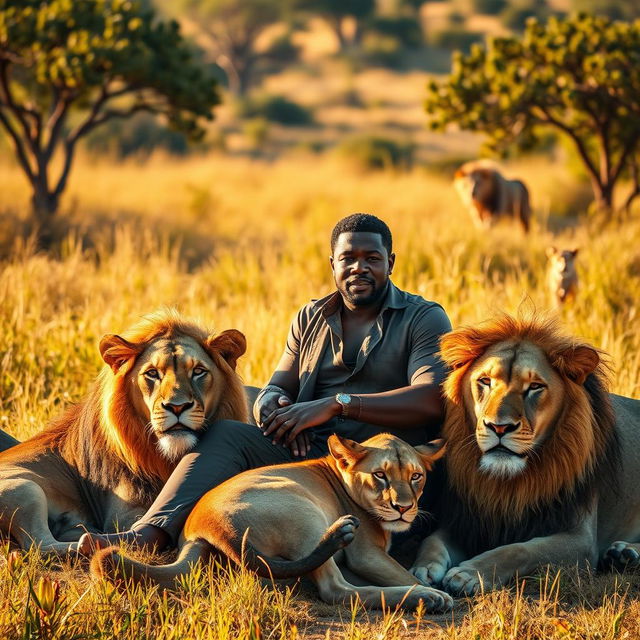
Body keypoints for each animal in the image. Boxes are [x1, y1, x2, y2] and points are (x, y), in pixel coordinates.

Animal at [0, 310, 248, 556]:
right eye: (152, 373)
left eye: (198, 371)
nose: (177, 407)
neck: (167, 456)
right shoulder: (122, 516)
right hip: (24, 489)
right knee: (39, 544)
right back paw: (89, 542)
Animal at [410, 314, 640, 596]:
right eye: (484, 381)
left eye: (535, 387)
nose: (499, 427)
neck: (508, 482)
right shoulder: (468, 521)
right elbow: (432, 540)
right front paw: (424, 569)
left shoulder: (581, 540)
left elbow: (520, 550)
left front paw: (470, 573)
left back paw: (626, 552)